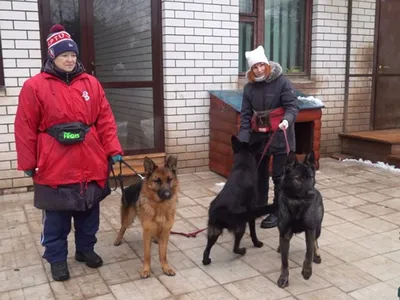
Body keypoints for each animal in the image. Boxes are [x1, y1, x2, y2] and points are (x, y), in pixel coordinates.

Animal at [203, 136, 276, 264]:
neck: (242, 167)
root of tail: (222, 211)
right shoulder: (251, 211)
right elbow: (253, 231)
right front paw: (257, 243)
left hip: (213, 230)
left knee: (206, 250)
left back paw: (207, 260)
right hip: (240, 224)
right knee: (235, 248)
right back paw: (242, 251)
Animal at [276, 151, 324, 290]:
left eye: (311, 177)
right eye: (298, 178)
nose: (311, 193)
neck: (297, 204)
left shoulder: (310, 230)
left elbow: (308, 252)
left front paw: (307, 271)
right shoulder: (285, 233)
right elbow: (284, 261)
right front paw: (283, 278)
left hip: (318, 228)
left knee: (315, 242)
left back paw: (317, 255)